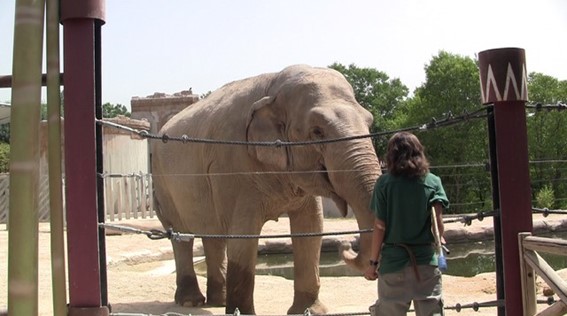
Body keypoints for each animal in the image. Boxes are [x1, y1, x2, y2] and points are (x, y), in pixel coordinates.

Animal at [151, 64, 382, 314]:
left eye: (369, 123)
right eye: (317, 131)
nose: (346, 246)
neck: (273, 85)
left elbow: (311, 227)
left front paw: (310, 311)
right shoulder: (233, 166)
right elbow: (244, 233)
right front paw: (243, 313)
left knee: (214, 234)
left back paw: (217, 301)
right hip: (163, 184)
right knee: (181, 235)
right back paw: (190, 302)